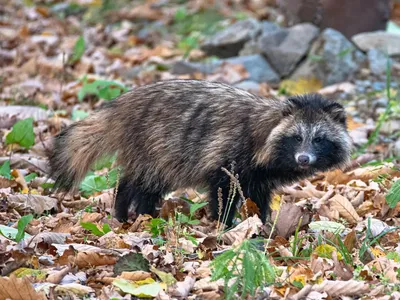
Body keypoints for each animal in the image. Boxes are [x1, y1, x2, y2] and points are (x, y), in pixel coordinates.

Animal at [48, 79, 352, 225]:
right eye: (297, 137)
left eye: (319, 140)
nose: (304, 159)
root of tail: (121, 105)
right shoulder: (229, 154)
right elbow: (222, 190)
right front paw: (225, 224)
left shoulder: (260, 174)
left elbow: (258, 197)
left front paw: (260, 222)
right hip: (152, 140)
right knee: (137, 179)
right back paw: (123, 209)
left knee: (151, 184)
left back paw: (146, 212)